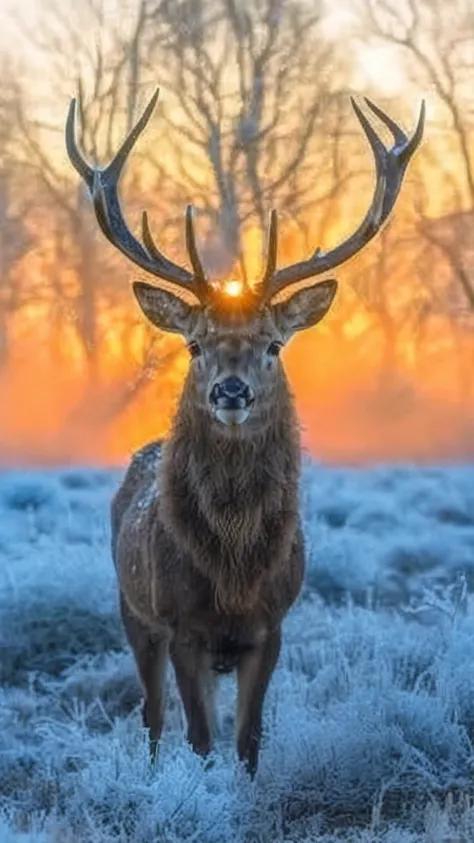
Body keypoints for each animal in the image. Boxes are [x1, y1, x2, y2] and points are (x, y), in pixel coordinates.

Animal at [65, 89, 424, 776]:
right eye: (195, 344)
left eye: (274, 345)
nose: (231, 391)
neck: (233, 571)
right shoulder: (180, 623)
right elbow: (202, 740)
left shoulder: (273, 624)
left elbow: (249, 739)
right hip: (130, 606)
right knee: (152, 718)